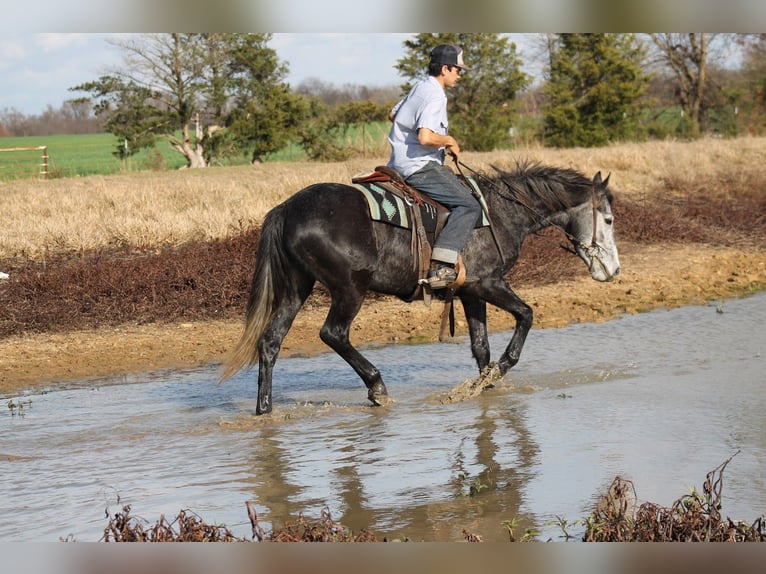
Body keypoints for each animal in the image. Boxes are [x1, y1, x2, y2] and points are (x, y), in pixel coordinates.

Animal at [221, 161, 621, 414]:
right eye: (609, 219)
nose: (613, 270)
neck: (500, 213)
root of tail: (288, 208)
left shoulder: (470, 292)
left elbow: (481, 347)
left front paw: (483, 386)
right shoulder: (489, 283)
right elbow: (526, 315)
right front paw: (501, 369)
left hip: (297, 287)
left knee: (270, 341)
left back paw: (264, 409)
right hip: (350, 288)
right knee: (333, 333)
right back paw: (376, 387)